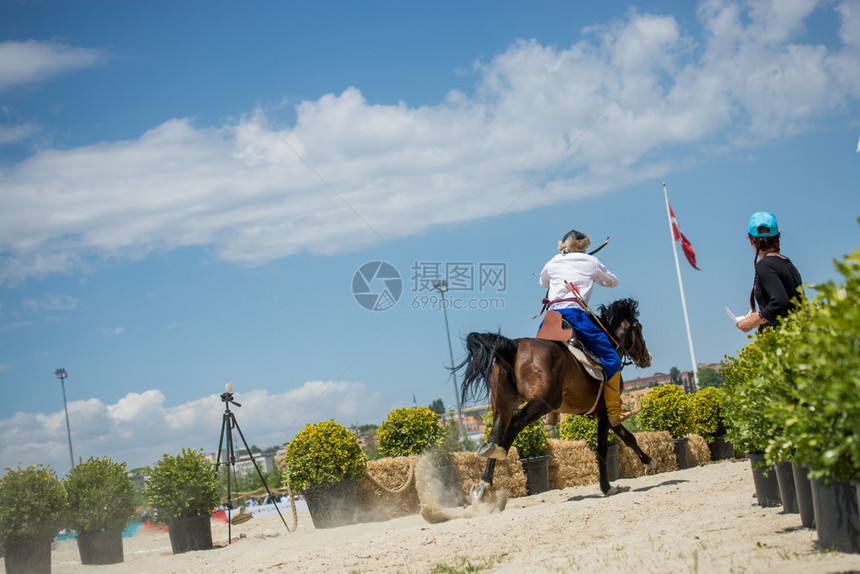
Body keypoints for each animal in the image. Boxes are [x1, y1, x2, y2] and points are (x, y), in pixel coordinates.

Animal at [460, 300, 660, 502]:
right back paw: (499, 451)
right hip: (545, 401)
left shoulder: (604, 414)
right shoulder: (604, 412)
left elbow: (629, 437)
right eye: (639, 328)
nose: (648, 357)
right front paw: (606, 487)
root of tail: (514, 346)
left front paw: (651, 462)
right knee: (517, 418)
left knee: (495, 432)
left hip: (503, 404)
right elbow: (602, 450)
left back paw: (485, 481)